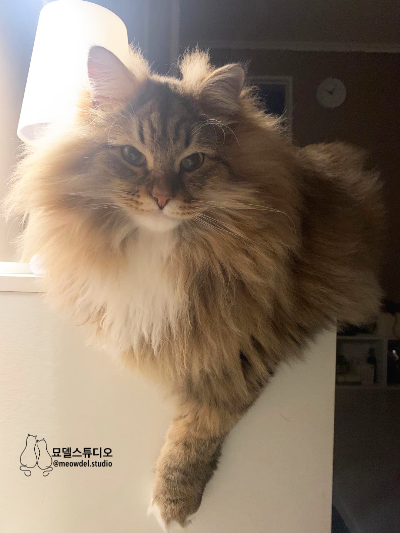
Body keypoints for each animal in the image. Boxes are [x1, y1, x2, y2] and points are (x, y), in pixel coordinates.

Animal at [6, 46, 384, 530]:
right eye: (132, 155)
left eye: (192, 162)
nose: (162, 198)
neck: (160, 246)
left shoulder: (249, 342)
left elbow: (199, 429)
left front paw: (173, 502)